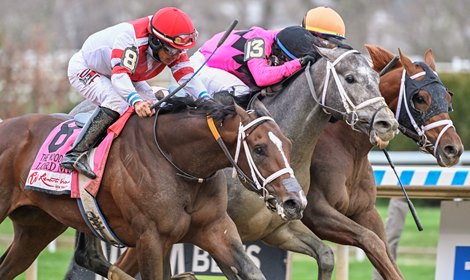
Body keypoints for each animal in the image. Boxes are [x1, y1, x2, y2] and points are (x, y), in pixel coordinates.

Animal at [0, 97, 308, 280]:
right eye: (259, 149)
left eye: (288, 145)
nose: (295, 202)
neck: (177, 162)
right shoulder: (150, 238)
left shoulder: (214, 228)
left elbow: (251, 271)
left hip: (38, 227)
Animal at [298, 44, 462, 278]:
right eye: (420, 99)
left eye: (448, 98)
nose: (453, 149)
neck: (349, 148)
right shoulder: (316, 212)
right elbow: (372, 242)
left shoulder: (365, 212)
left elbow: (386, 254)